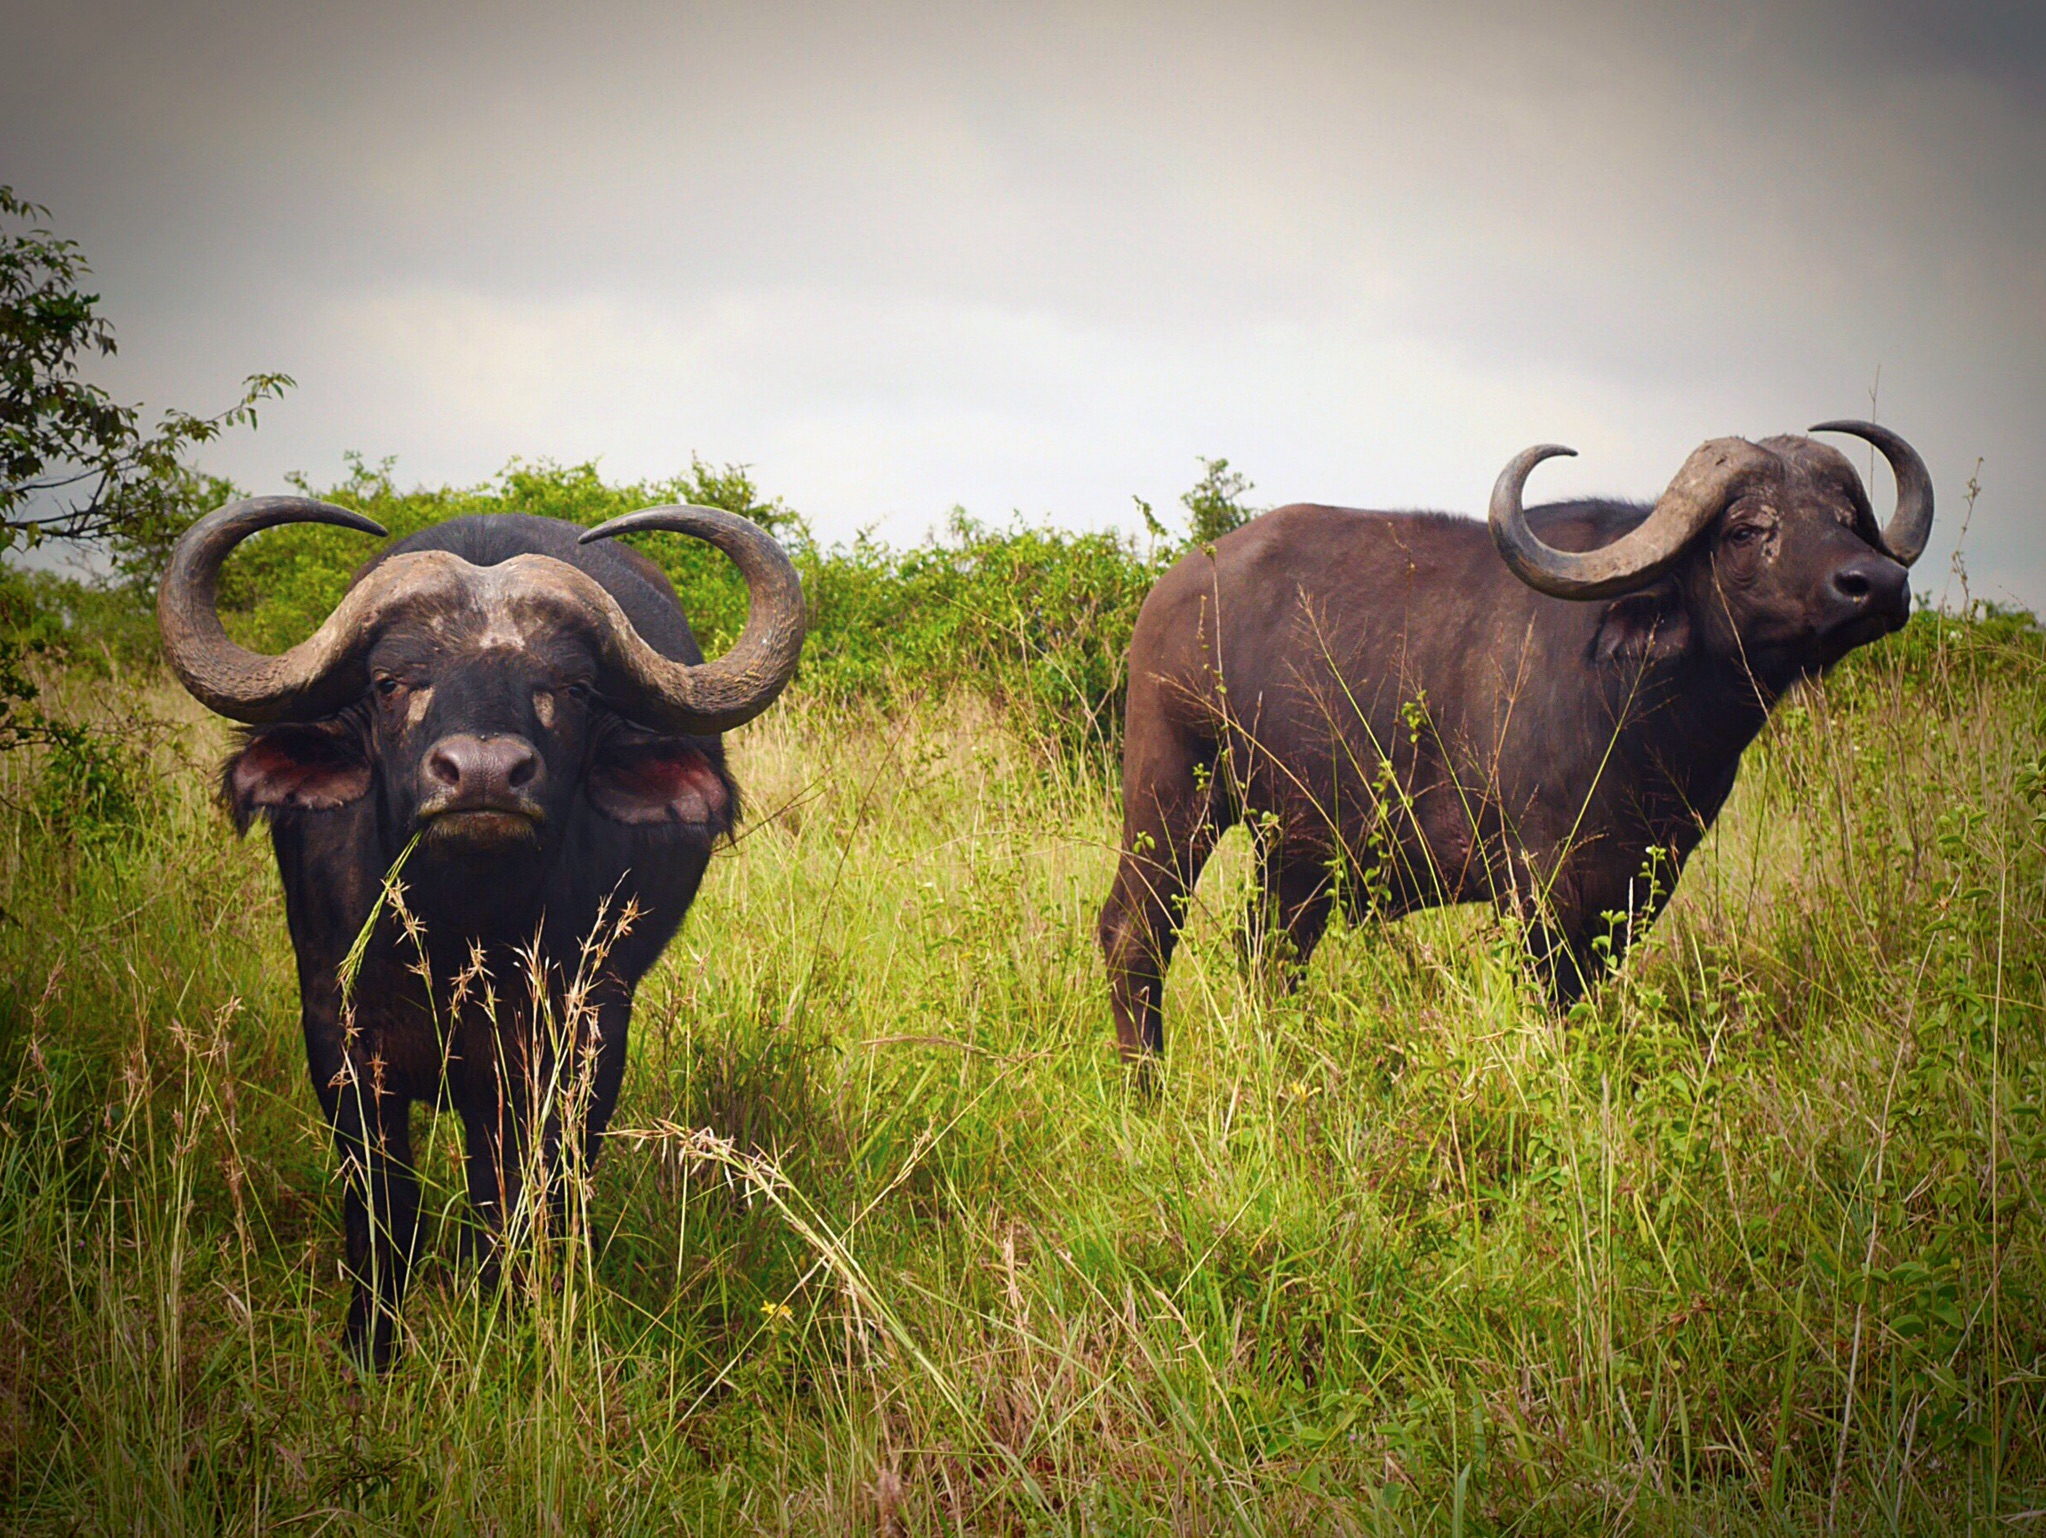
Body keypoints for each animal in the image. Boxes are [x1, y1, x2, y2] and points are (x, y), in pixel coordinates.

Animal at [159, 499, 802, 1366]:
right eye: (391, 680)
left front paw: (509, 1312)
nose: (484, 774)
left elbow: (530, 1194)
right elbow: (384, 1203)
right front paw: (371, 1345)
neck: (456, 931)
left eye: (571, 685)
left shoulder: (580, 1037)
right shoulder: (336, 1030)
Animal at [1096, 427, 1923, 1063]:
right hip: (1173, 796)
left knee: (1270, 955)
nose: (1876, 583)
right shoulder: (1539, 883)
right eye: (1748, 528)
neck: (1647, 716)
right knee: (1135, 935)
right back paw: (1147, 1086)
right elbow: (1546, 999)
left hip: (1296, 850)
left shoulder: (1640, 885)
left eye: (1846, 516)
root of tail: (1169, 595)